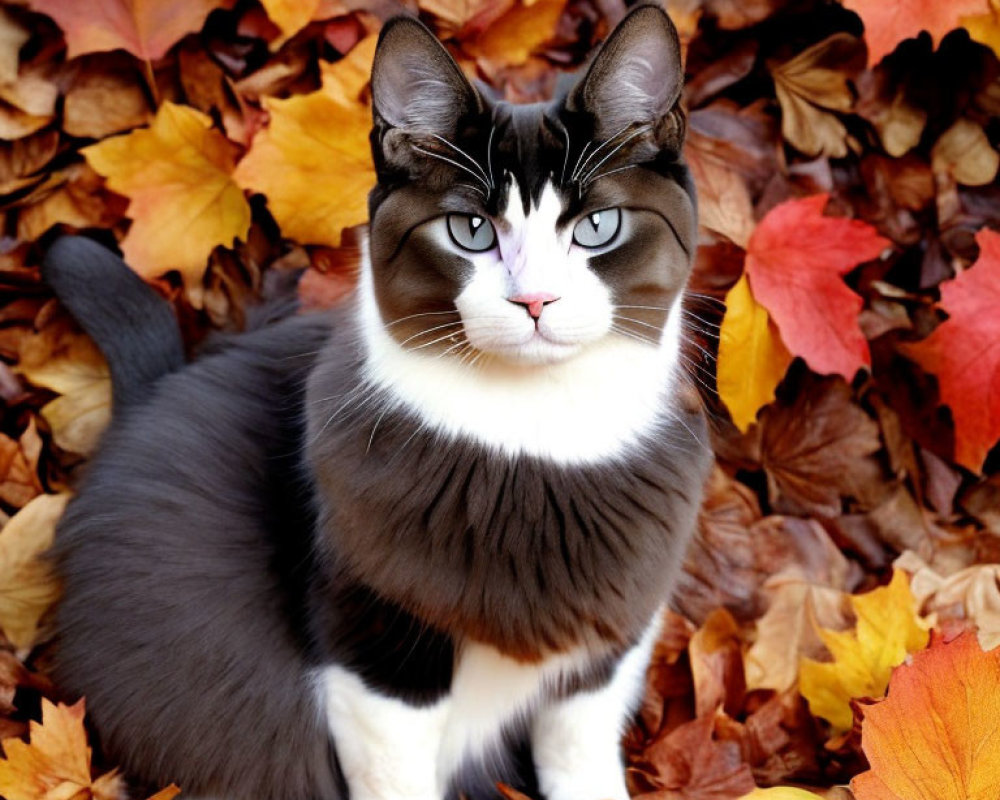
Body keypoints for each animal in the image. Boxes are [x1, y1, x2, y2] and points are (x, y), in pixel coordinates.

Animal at [43, 6, 708, 800]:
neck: (532, 432)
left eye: (597, 228)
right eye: (471, 231)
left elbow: (579, 752)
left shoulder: (613, 642)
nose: (535, 300)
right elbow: (395, 771)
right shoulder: (376, 646)